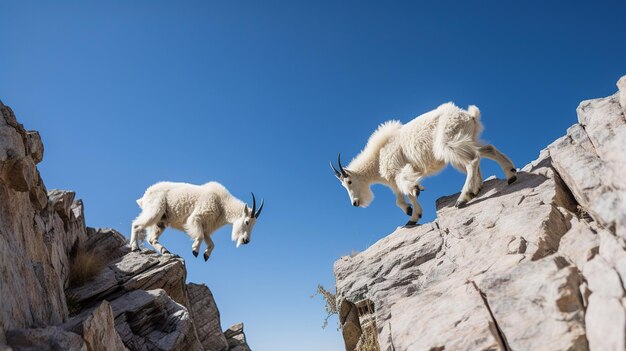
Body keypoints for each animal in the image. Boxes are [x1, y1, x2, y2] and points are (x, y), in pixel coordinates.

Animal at [129, 182, 260, 262]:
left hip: (161, 220)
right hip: (155, 210)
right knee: (136, 224)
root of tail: (144, 195)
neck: (222, 204)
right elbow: (200, 236)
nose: (246, 240)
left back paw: (166, 252)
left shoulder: (206, 227)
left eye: (254, 225)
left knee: (152, 238)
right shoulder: (196, 218)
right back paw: (135, 247)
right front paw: (195, 251)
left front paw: (206, 255)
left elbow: (212, 244)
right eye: (247, 222)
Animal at [330, 103, 516, 227]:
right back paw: (509, 175)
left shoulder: (399, 171)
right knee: (487, 150)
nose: (355, 203)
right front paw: (411, 214)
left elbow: (409, 192)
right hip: (466, 140)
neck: (377, 158)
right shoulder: (395, 180)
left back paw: (463, 198)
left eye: (349, 182)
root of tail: (470, 115)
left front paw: (413, 213)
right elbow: (401, 197)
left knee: (473, 160)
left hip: (449, 143)